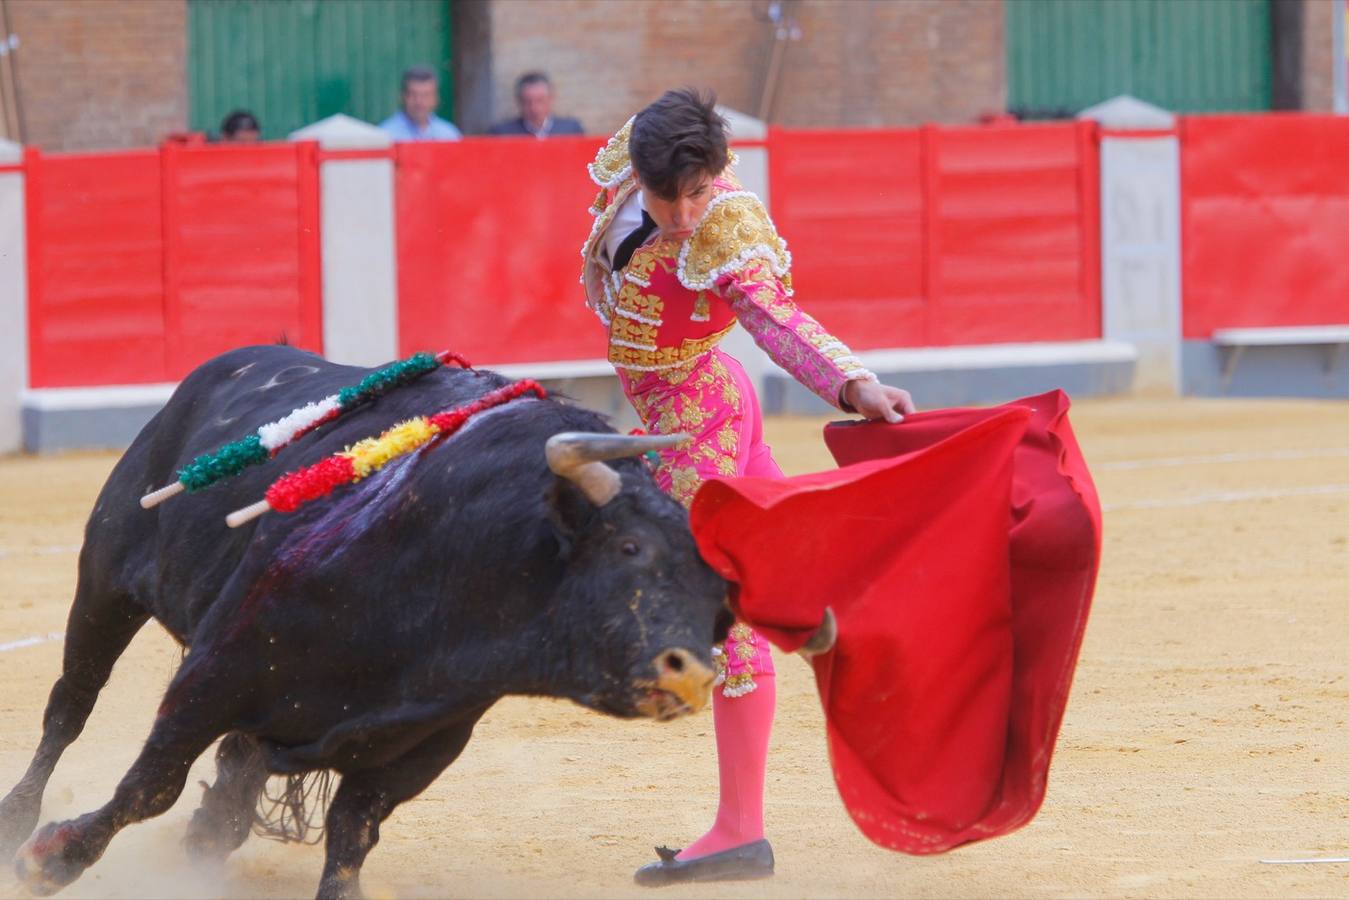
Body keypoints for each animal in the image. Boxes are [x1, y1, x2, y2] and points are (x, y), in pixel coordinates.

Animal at [2, 342, 739, 895]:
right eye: (628, 548)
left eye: (721, 601)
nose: (689, 675)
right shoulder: (215, 672)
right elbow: (150, 784)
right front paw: (50, 860)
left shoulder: (423, 741)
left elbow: (350, 836)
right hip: (103, 584)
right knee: (70, 705)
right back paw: (18, 818)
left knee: (235, 780)